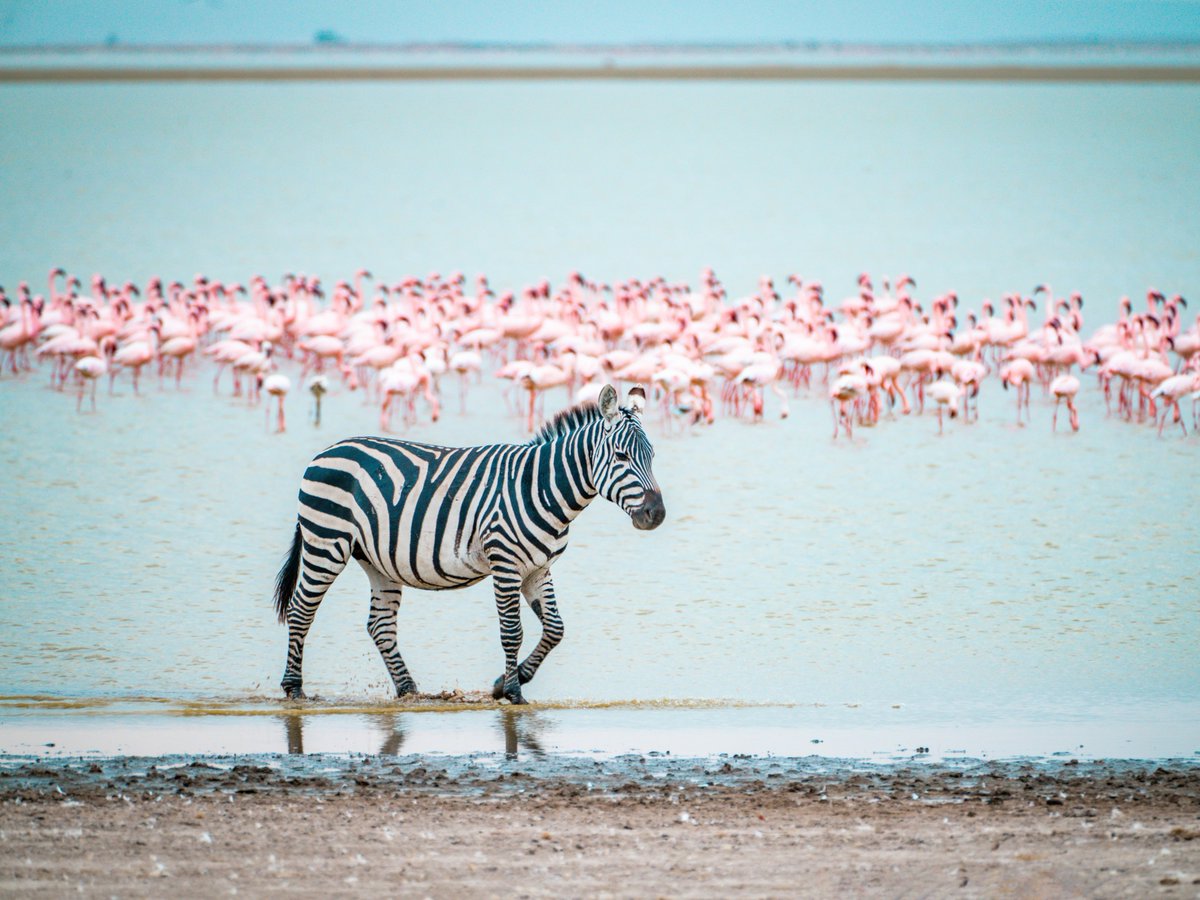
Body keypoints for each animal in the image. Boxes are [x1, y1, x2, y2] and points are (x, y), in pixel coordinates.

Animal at [273, 383, 665, 705]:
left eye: (652, 457)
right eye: (621, 457)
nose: (656, 514)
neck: (541, 488)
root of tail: (327, 451)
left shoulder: (537, 568)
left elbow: (555, 629)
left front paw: (504, 683)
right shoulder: (505, 564)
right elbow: (512, 631)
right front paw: (513, 692)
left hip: (376, 559)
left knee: (380, 625)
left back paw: (409, 690)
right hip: (327, 542)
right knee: (301, 609)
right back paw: (294, 688)